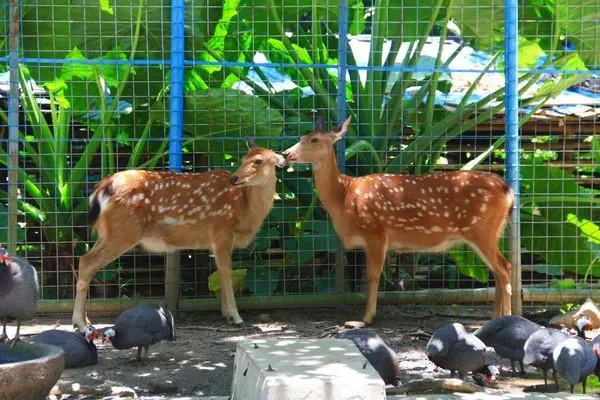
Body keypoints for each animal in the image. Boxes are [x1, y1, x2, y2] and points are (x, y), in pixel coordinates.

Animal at [71, 139, 288, 330]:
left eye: (258, 161)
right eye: (243, 159)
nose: (234, 178)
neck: (244, 209)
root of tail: (101, 188)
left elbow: (220, 272)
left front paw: (226, 314)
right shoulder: (221, 230)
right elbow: (227, 274)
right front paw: (236, 317)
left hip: (107, 233)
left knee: (84, 260)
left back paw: (84, 321)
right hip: (123, 231)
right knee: (87, 262)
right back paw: (81, 323)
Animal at [284, 116, 512, 324]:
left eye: (315, 140)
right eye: (302, 136)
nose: (286, 153)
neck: (344, 196)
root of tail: (507, 190)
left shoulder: (375, 232)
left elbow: (373, 275)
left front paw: (366, 317)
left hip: (482, 230)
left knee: (504, 268)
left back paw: (507, 318)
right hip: (491, 231)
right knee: (498, 270)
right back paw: (495, 318)